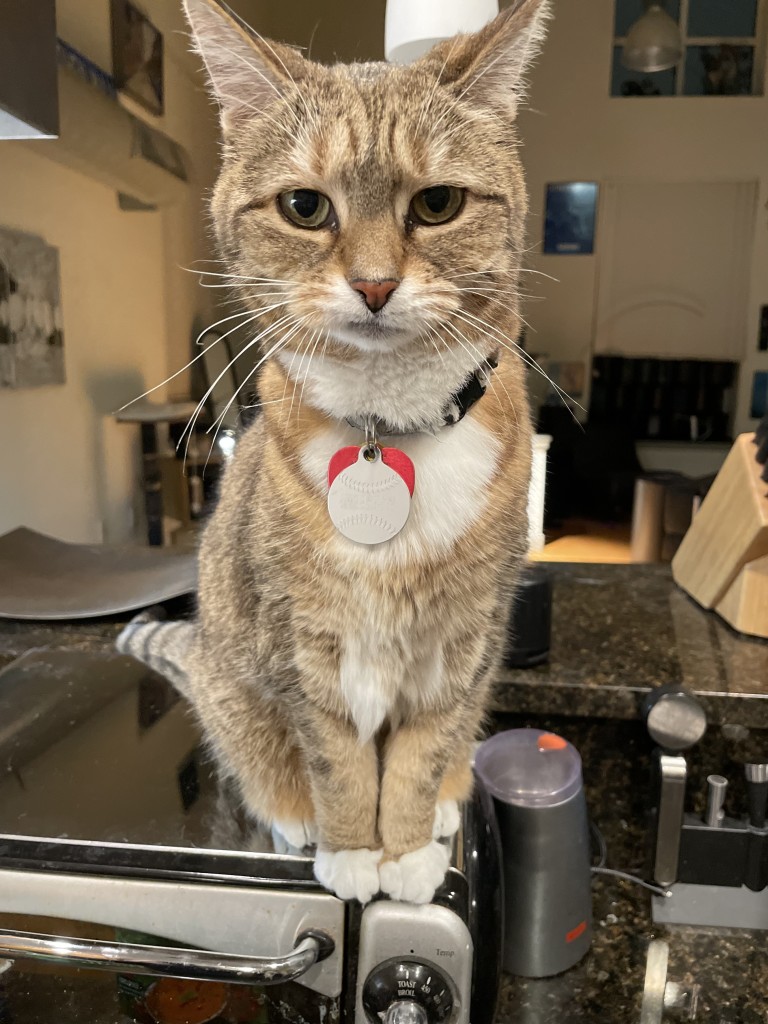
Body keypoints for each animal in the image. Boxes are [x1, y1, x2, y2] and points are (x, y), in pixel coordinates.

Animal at [120, 0, 548, 901]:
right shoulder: (302, 645)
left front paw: (408, 848)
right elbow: (339, 760)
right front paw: (354, 850)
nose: (376, 285)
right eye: (304, 207)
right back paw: (295, 816)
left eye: (439, 203)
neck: (391, 430)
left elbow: (422, 752)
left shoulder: (461, 644)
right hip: (236, 689)